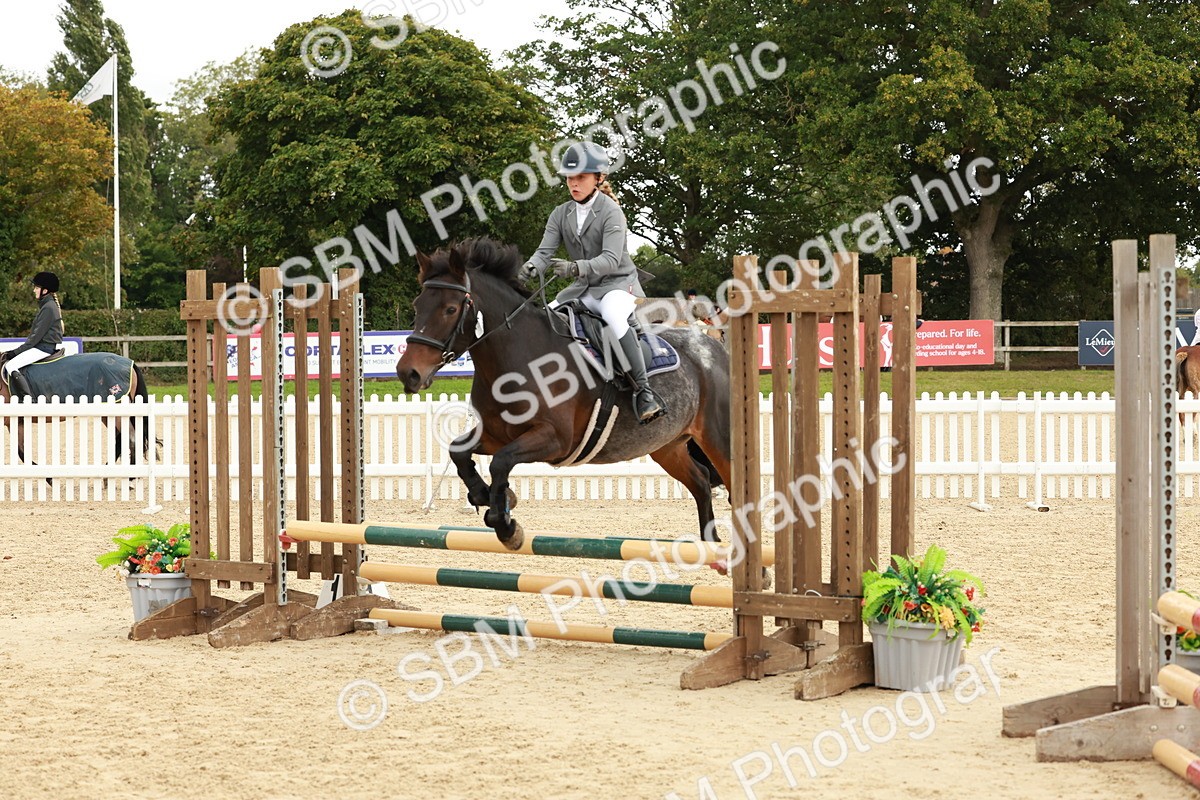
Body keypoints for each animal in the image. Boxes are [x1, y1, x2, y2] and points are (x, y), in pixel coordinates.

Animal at [0, 352, 157, 481]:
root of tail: (129, 363)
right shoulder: (16, 422)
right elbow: (22, 452)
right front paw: (49, 479)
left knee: (131, 438)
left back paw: (131, 479)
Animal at [395, 238, 733, 552]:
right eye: (416, 305)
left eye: (451, 309)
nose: (408, 373)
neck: (515, 359)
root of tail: (714, 346)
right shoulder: (495, 435)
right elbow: (459, 451)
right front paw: (487, 496)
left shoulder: (554, 439)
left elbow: (500, 463)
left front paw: (505, 523)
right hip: (666, 446)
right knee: (701, 481)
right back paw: (711, 545)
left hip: (716, 439)